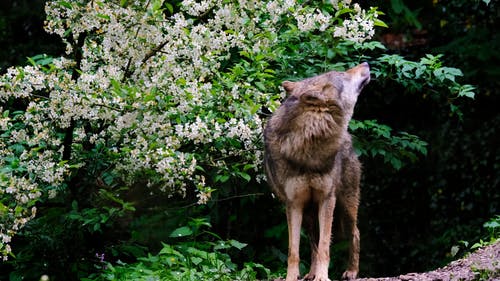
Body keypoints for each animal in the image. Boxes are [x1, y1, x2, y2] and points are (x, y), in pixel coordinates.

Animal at [264, 62, 370, 278]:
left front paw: (323, 277)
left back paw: (351, 271)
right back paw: (310, 274)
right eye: (343, 75)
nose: (365, 63)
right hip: (309, 214)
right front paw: (292, 278)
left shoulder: (327, 199)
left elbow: (324, 246)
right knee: (313, 242)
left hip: (346, 205)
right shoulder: (294, 204)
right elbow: (294, 251)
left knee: (355, 233)